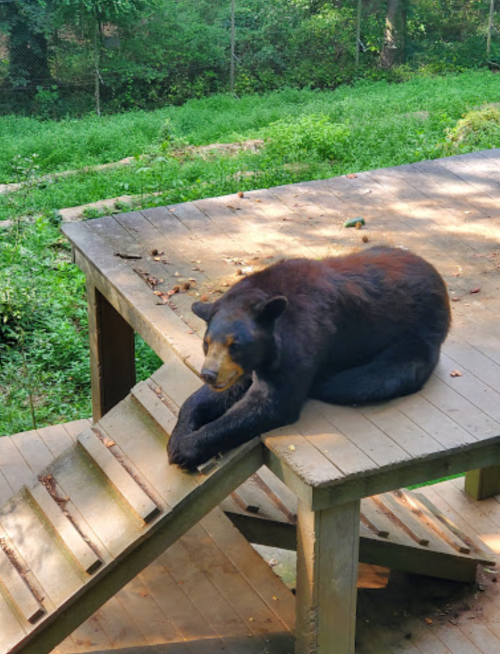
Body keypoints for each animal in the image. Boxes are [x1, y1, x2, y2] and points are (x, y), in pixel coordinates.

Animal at [167, 246, 451, 470]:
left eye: (235, 345)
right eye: (206, 343)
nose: (209, 374)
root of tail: (439, 281)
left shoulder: (301, 341)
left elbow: (271, 403)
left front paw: (185, 448)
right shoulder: (245, 366)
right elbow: (217, 393)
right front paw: (179, 435)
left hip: (416, 336)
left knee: (380, 377)